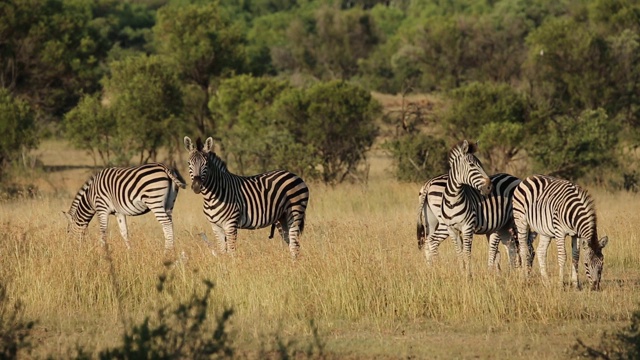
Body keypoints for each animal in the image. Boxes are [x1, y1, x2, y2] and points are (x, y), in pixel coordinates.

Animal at [182, 136, 310, 258]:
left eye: (206, 164)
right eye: (189, 163)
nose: (196, 186)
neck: (211, 197)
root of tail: (294, 175)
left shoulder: (230, 224)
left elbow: (231, 252)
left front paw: (233, 266)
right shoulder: (215, 226)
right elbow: (222, 251)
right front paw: (223, 266)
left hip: (295, 213)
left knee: (294, 243)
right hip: (282, 218)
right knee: (291, 243)